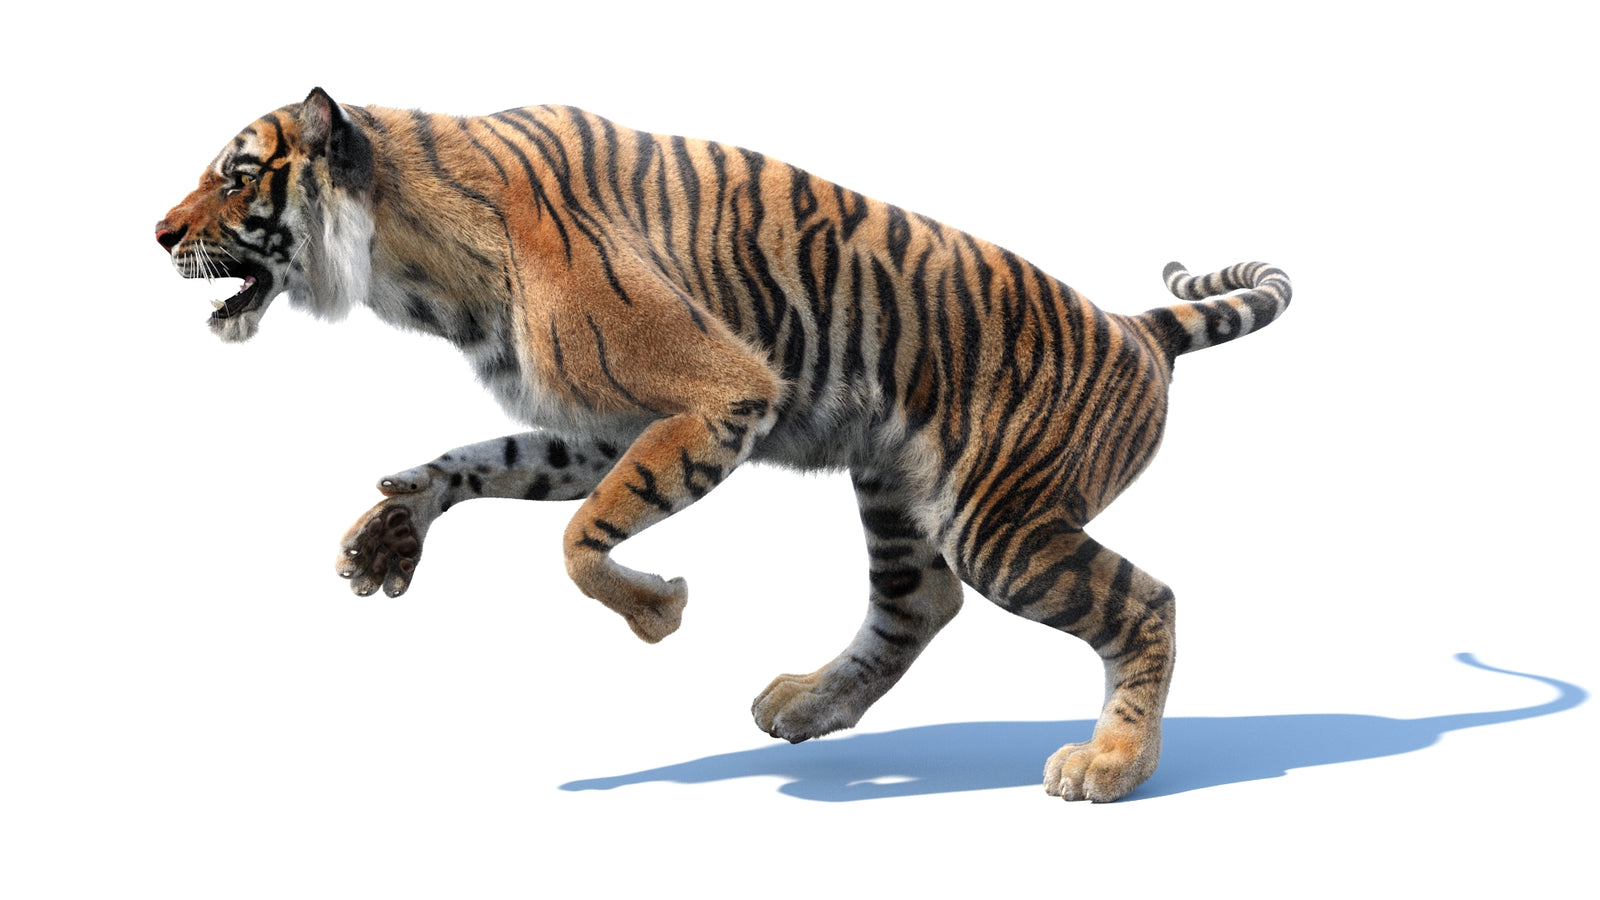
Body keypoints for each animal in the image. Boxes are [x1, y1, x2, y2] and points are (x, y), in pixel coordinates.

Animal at [156, 87, 1291, 803]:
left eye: (237, 177)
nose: (159, 234)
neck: (410, 260)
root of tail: (1135, 327)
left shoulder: (719, 397)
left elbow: (577, 538)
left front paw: (658, 612)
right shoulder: (606, 422)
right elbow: (498, 463)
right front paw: (390, 528)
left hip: (1000, 522)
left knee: (1145, 601)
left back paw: (1111, 765)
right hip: (898, 495)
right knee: (916, 605)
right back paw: (808, 705)